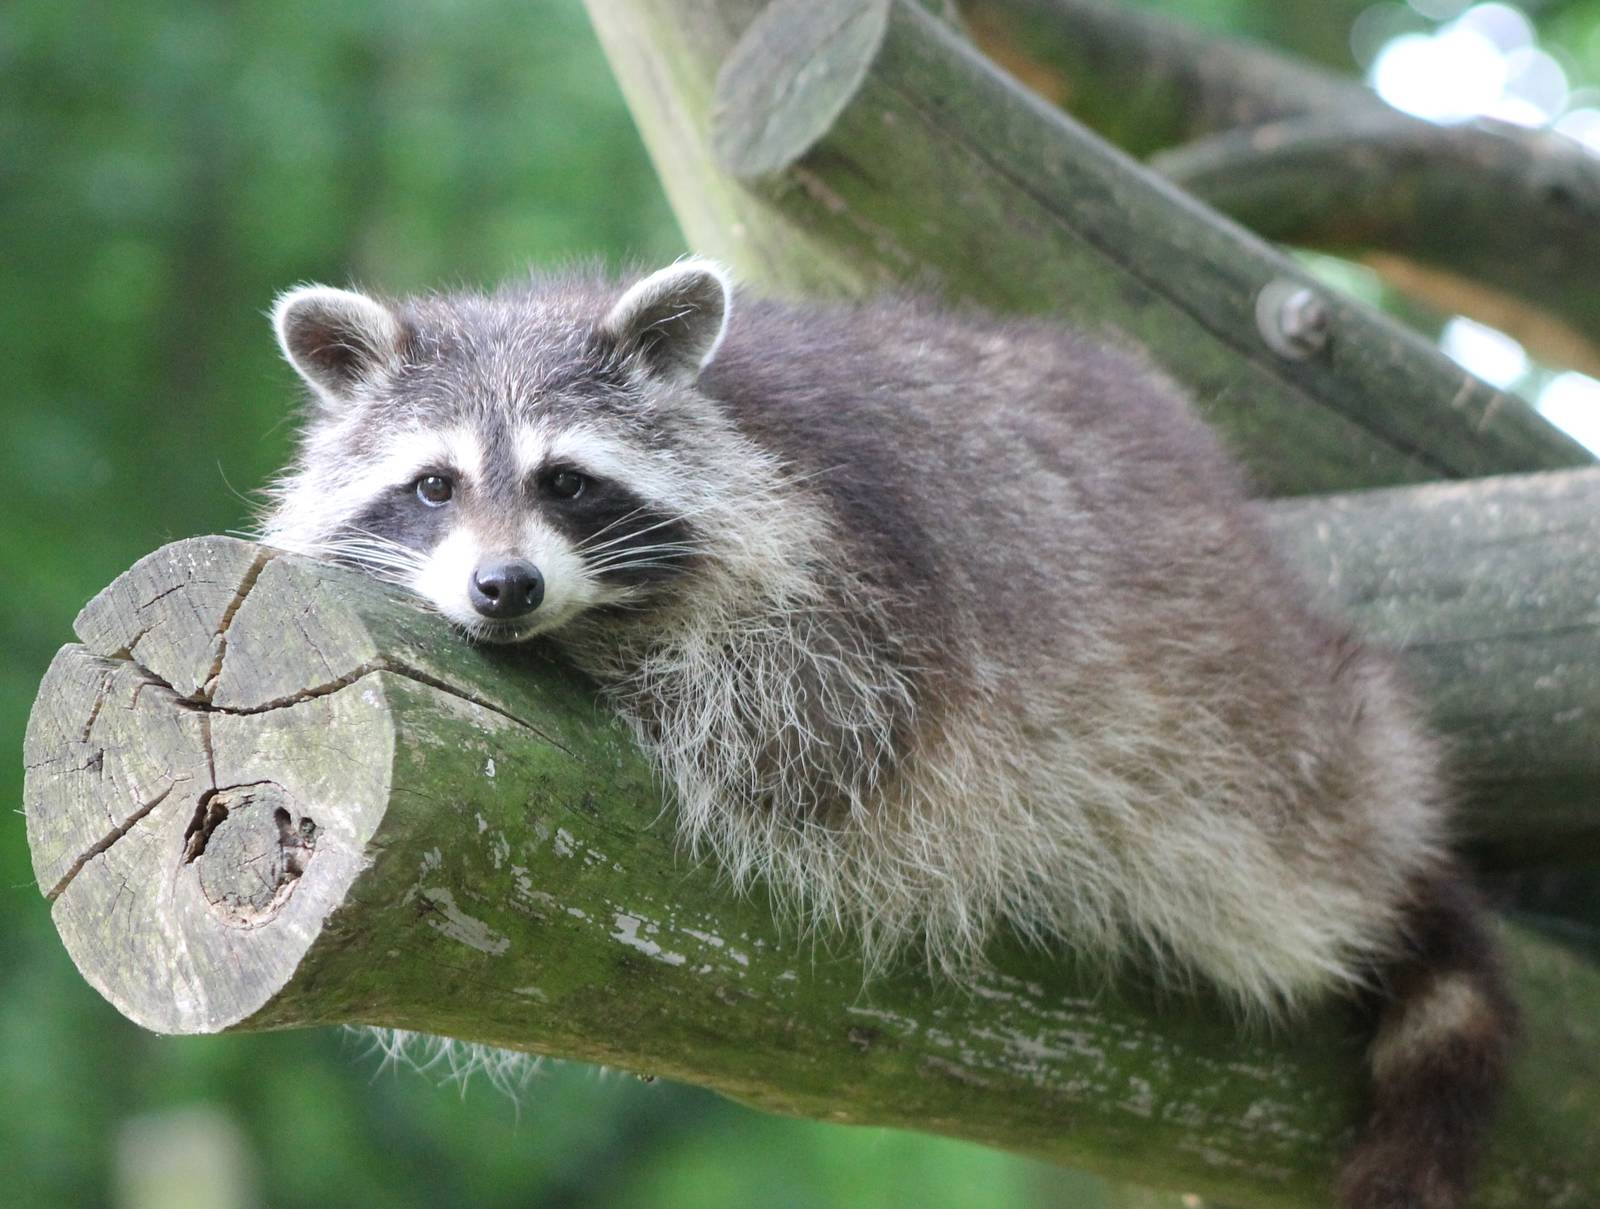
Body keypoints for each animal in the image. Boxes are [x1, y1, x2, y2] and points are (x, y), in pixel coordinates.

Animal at [261, 260, 1513, 1208]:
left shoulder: (854, 594)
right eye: (434, 485)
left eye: (567, 481)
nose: (505, 589)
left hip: (1256, 751)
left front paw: (604, 649)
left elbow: (803, 718)